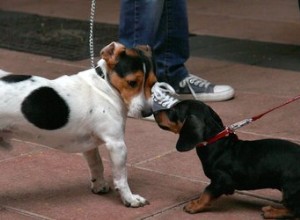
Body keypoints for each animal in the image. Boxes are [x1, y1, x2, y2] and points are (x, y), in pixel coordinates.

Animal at [155, 100, 300, 220]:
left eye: (174, 110)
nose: (154, 111)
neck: (215, 142)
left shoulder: (221, 179)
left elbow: (206, 192)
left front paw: (195, 205)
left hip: (289, 187)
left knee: (295, 211)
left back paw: (272, 212)